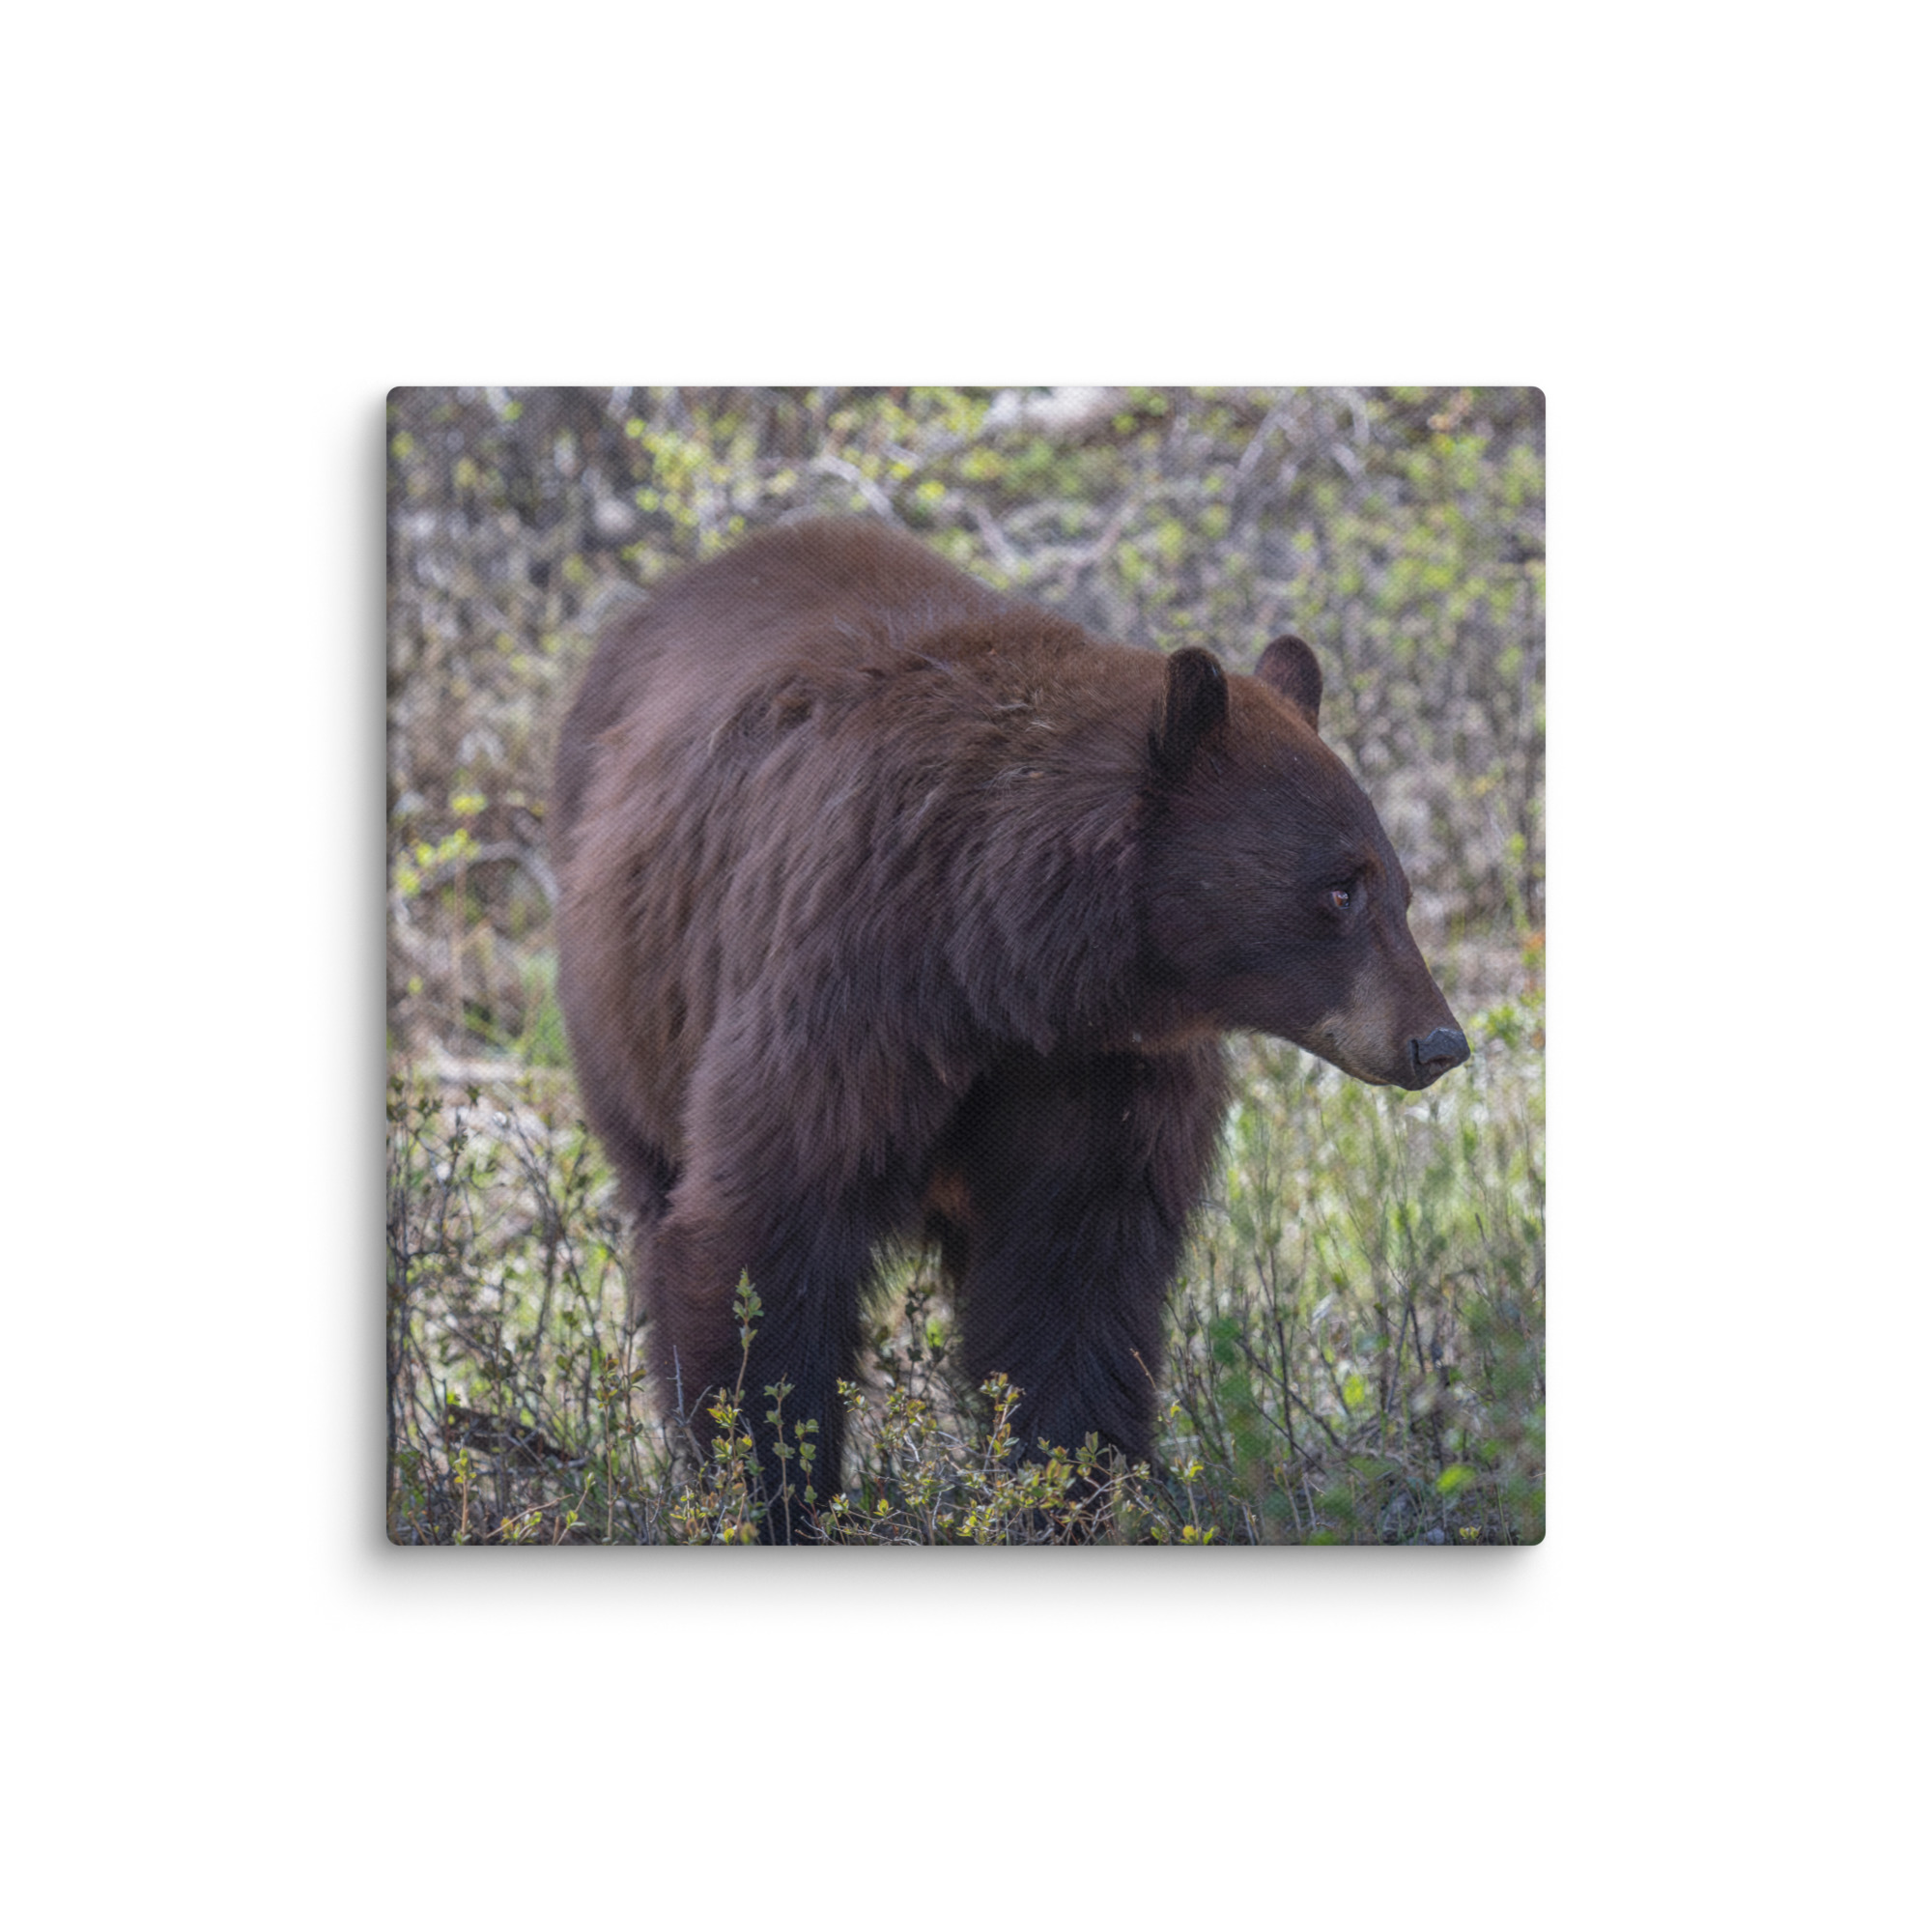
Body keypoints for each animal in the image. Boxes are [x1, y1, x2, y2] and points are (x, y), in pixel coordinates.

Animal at [552, 517, 1467, 1534]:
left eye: (1400, 888)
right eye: (1340, 891)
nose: (1438, 1042)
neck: (1001, 962)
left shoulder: (1098, 1070)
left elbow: (1073, 1274)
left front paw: (1060, 1492)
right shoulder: (848, 992)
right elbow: (768, 1226)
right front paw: (773, 1494)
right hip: (629, 1007)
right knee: (656, 1187)